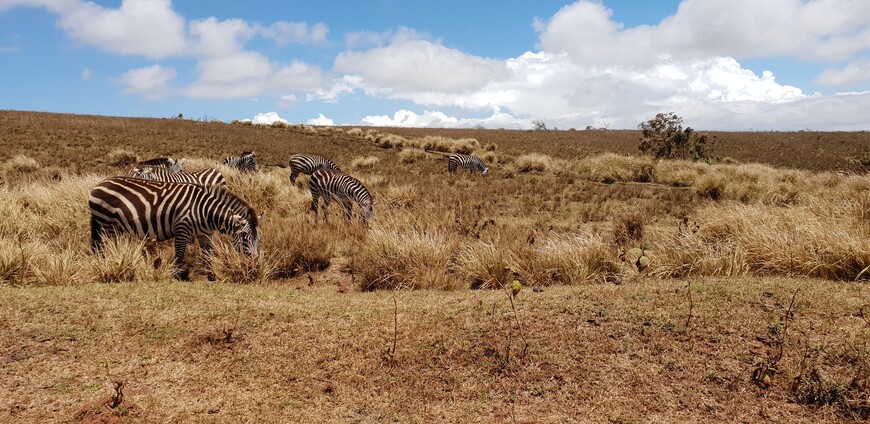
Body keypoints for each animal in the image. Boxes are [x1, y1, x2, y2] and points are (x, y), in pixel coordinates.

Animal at [88, 176, 260, 278]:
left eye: (258, 239)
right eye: (244, 237)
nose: (254, 265)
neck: (206, 210)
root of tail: (99, 184)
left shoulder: (205, 234)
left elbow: (207, 255)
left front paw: (211, 276)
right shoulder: (182, 229)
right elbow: (180, 254)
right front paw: (176, 276)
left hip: (112, 226)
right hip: (107, 223)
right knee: (107, 246)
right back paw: (111, 264)